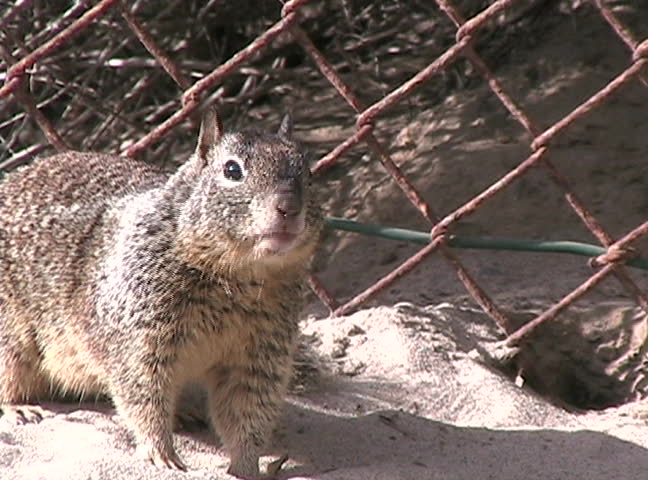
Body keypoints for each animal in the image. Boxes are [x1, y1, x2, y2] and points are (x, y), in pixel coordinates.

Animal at [0, 108, 323, 478]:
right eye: (232, 170)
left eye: (308, 172)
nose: (289, 208)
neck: (240, 276)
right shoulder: (139, 342)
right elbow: (144, 399)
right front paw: (163, 454)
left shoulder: (259, 358)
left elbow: (247, 415)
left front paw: (246, 467)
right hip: (10, 343)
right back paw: (19, 409)